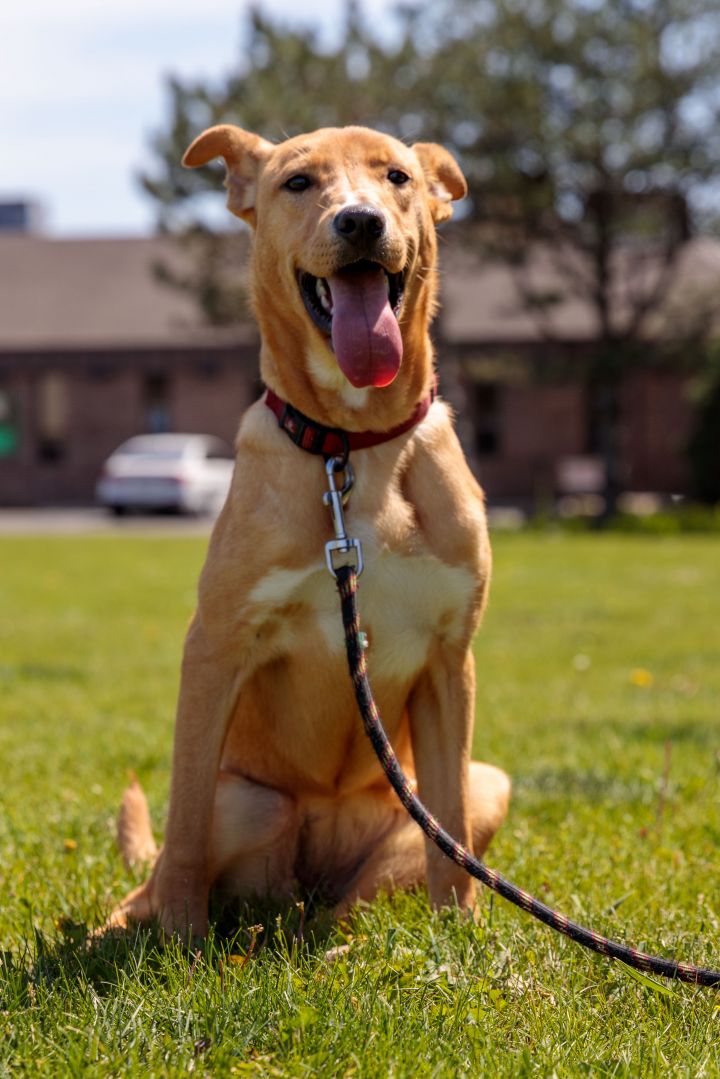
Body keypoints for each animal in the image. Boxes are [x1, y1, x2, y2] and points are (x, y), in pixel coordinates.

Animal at [110, 124, 509, 936]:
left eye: (397, 177)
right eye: (298, 182)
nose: (360, 222)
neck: (351, 445)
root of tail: (306, 888)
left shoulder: (451, 658)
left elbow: (451, 840)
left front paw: (463, 938)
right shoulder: (216, 646)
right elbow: (186, 824)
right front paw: (180, 941)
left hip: (481, 785)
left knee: (373, 896)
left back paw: (345, 943)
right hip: (250, 800)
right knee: (156, 872)